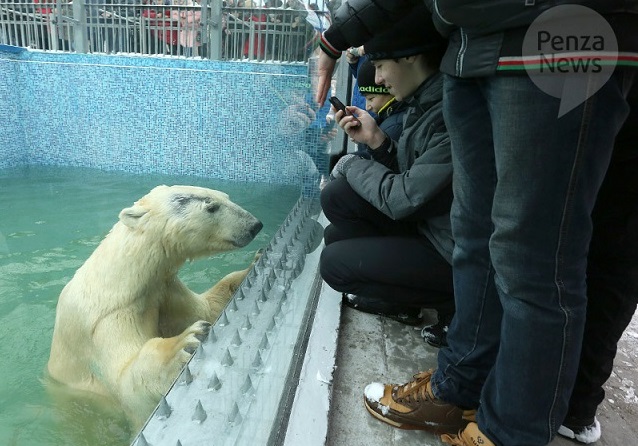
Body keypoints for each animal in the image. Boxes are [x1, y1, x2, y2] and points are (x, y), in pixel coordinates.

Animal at [46, 184, 262, 428]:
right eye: (211, 207)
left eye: (226, 196)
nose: (255, 225)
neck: (120, 280)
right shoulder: (105, 321)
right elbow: (126, 381)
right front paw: (184, 342)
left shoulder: (163, 289)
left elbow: (207, 308)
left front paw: (253, 263)